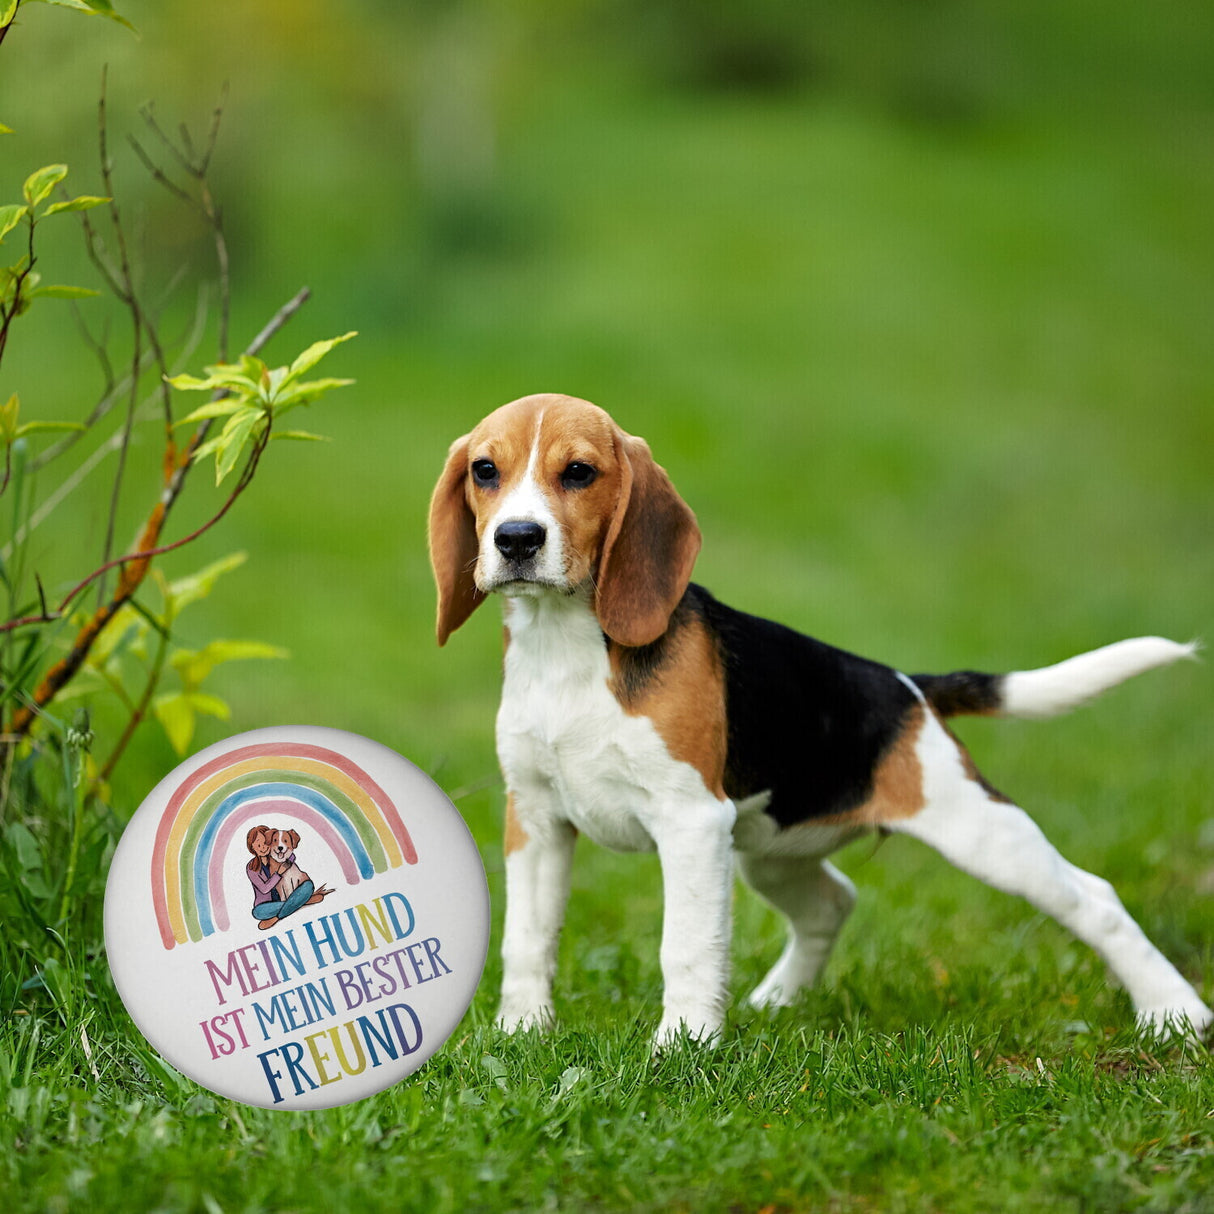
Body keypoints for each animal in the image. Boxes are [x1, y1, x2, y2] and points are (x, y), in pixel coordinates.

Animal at [432, 393, 1209, 1048]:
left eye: (579, 473)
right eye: (485, 471)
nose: (517, 539)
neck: (564, 646)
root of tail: (906, 686)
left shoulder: (691, 823)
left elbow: (685, 946)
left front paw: (682, 1048)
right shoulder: (536, 819)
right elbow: (528, 938)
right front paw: (520, 1034)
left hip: (979, 832)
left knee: (1094, 899)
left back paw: (1174, 1013)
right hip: (768, 850)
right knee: (832, 902)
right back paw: (779, 1000)